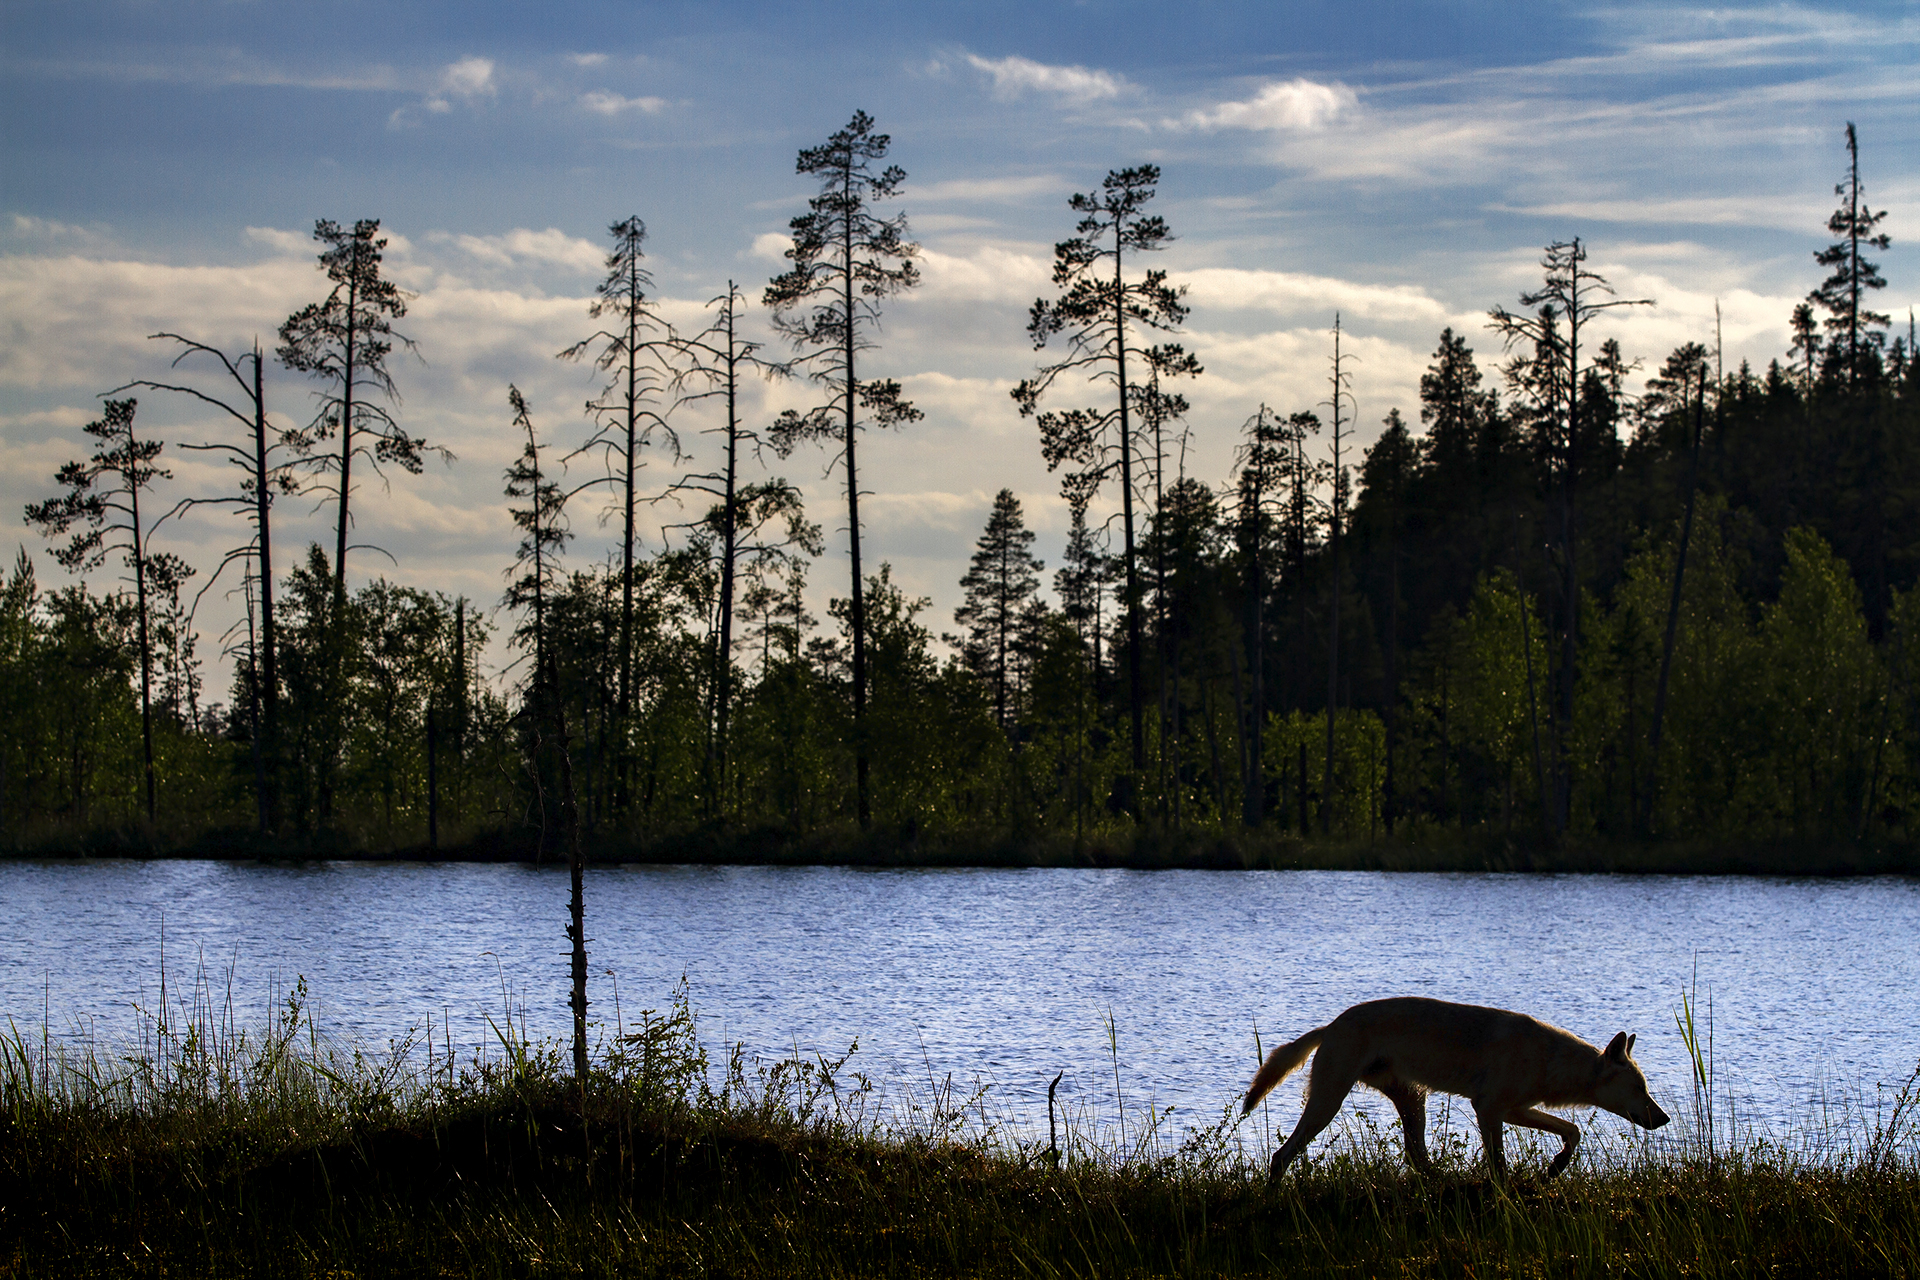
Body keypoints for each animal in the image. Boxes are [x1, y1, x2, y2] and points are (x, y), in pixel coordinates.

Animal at [1241, 997, 1670, 1179]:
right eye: (1639, 1088)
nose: (1664, 1119)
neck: (1550, 1060)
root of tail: (1328, 1026)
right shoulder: (1490, 1109)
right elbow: (1498, 1165)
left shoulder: (1515, 1110)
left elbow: (1573, 1131)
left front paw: (1556, 1168)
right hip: (1327, 1104)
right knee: (1281, 1156)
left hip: (1413, 1102)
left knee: (1417, 1158)